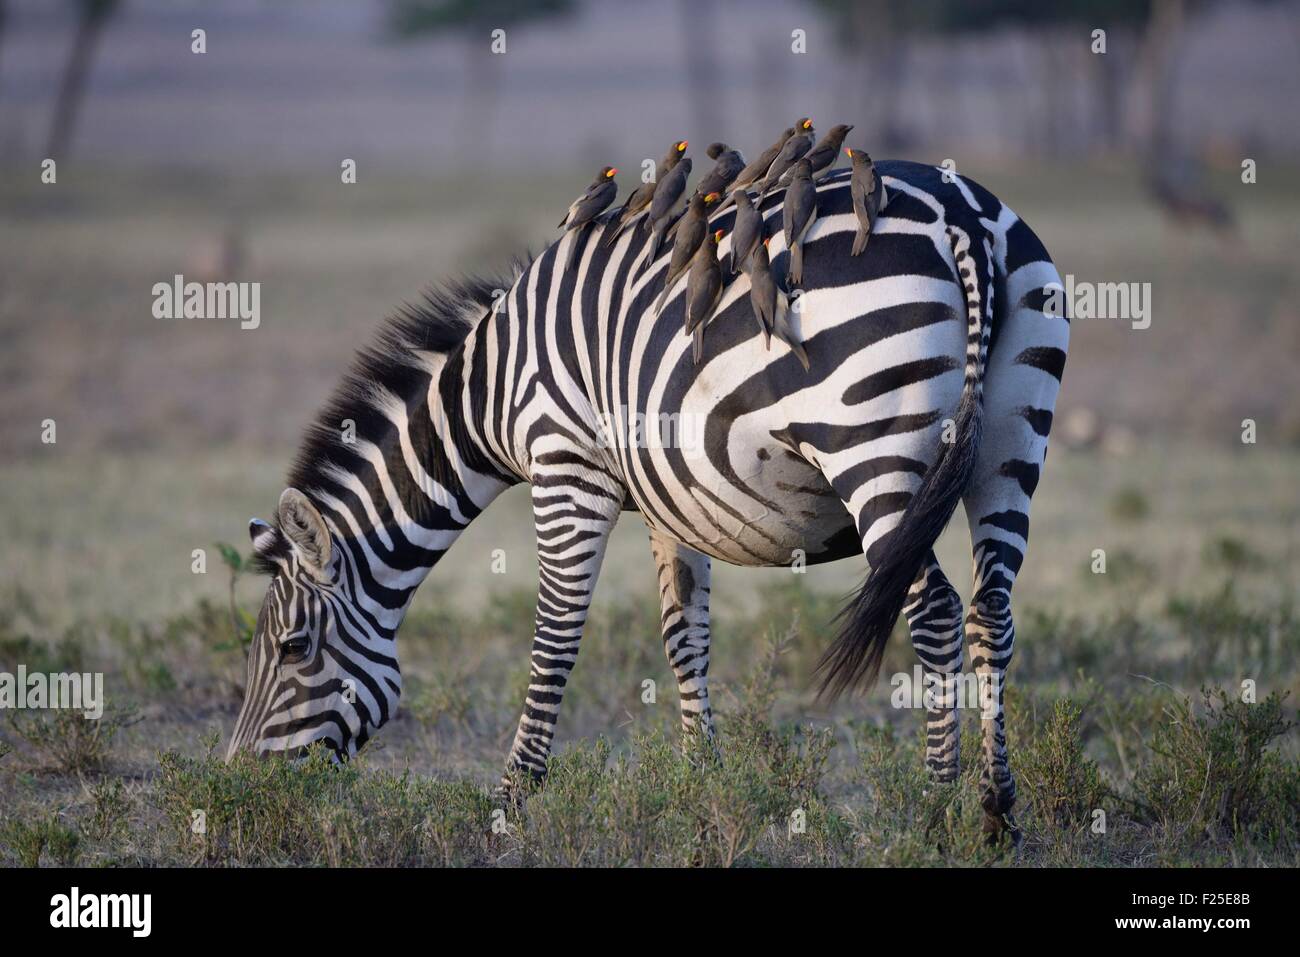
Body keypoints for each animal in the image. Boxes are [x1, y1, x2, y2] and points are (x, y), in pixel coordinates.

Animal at [228, 160, 1071, 832]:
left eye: (292, 648)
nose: (241, 788)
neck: (491, 387)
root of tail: (963, 218)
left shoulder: (567, 465)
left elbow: (555, 635)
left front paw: (510, 801)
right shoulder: (674, 496)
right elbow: (683, 639)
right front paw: (703, 789)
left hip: (873, 444)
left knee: (934, 611)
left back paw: (937, 809)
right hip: (1011, 438)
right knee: (991, 609)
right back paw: (997, 812)